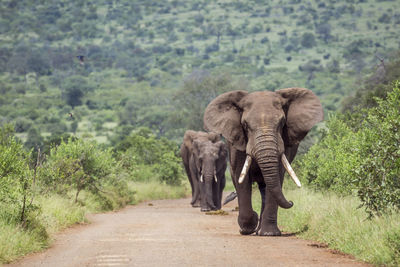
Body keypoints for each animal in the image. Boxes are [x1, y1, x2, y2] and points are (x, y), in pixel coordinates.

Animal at [205, 88, 324, 237]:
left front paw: (269, 233)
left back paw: (261, 230)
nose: (291, 202)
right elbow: (240, 177)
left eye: (282, 122)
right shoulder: (237, 142)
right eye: (245, 125)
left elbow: (277, 175)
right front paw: (247, 228)